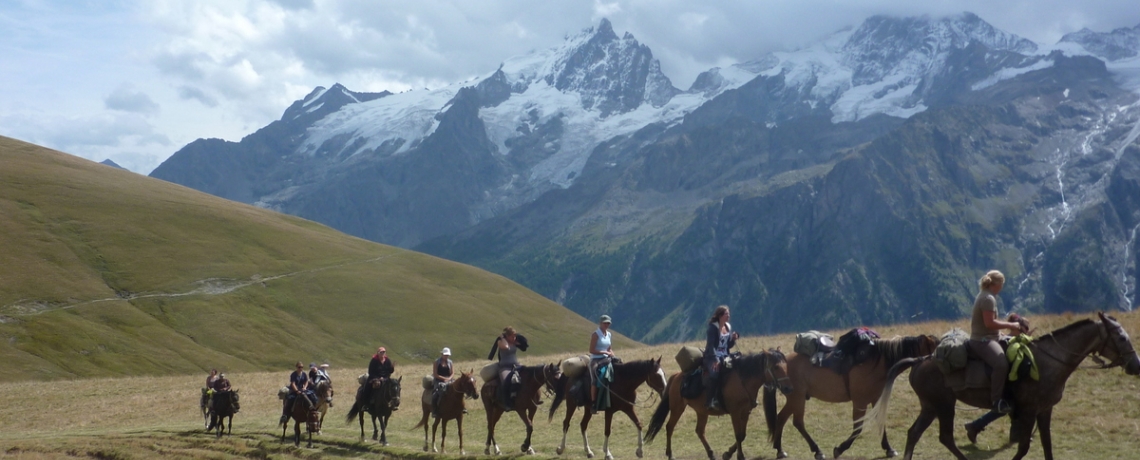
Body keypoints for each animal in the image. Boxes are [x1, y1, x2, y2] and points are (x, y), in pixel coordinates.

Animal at [647, 348, 798, 459]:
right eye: (776, 367)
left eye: (786, 365)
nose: (789, 388)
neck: (743, 379)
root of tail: (676, 376)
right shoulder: (735, 412)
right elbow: (738, 434)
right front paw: (740, 456)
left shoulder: (746, 412)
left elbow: (743, 434)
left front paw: (727, 454)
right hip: (677, 408)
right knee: (669, 427)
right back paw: (670, 454)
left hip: (702, 411)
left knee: (699, 431)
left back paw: (711, 454)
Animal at [766, 334, 934, 459]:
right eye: (936, 344)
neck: (876, 361)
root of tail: (781, 361)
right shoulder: (860, 402)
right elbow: (858, 428)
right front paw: (840, 448)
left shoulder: (876, 399)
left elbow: (880, 422)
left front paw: (888, 448)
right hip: (797, 398)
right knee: (797, 422)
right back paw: (817, 450)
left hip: (794, 398)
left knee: (781, 418)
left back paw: (780, 450)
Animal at [861, 311, 1140, 459]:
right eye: (1120, 337)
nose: (1136, 365)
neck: (1047, 362)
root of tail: (921, 360)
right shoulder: (1028, 411)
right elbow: (1025, 446)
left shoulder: (1044, 410)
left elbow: (1047, 444)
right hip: (944, 405)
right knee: (944, 437)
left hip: (930, 406)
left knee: (914, 433)